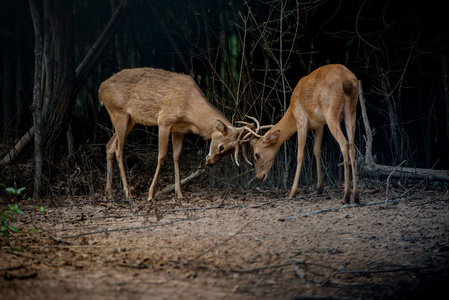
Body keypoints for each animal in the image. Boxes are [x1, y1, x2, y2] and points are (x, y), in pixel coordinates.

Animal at [98, 67, 245, 199]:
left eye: (230, 152)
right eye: (222, 147)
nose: (209, 162)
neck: (190, 112)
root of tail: (100, 89)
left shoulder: (179, 130)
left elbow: (177, 157)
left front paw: (179, 194)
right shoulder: (164, 121)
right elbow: (162, 157)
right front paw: (150, 195)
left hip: (131, 120)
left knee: (110, 145)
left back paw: (109, 193)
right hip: (118, 113)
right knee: (118, 150)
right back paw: (128, 193)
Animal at [247, 64, 358, 203]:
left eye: (256, 154)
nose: (259, 177)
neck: (291, 110)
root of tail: (347, 81)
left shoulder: (301, 120)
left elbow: (300, 154)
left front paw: (292, 192)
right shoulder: (320, 124)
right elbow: (316, 150)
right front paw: (319, 187)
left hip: (331, 112)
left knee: (344, 144)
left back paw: (346, 196)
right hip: (351, 110)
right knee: (352, 145)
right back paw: (356, 196)